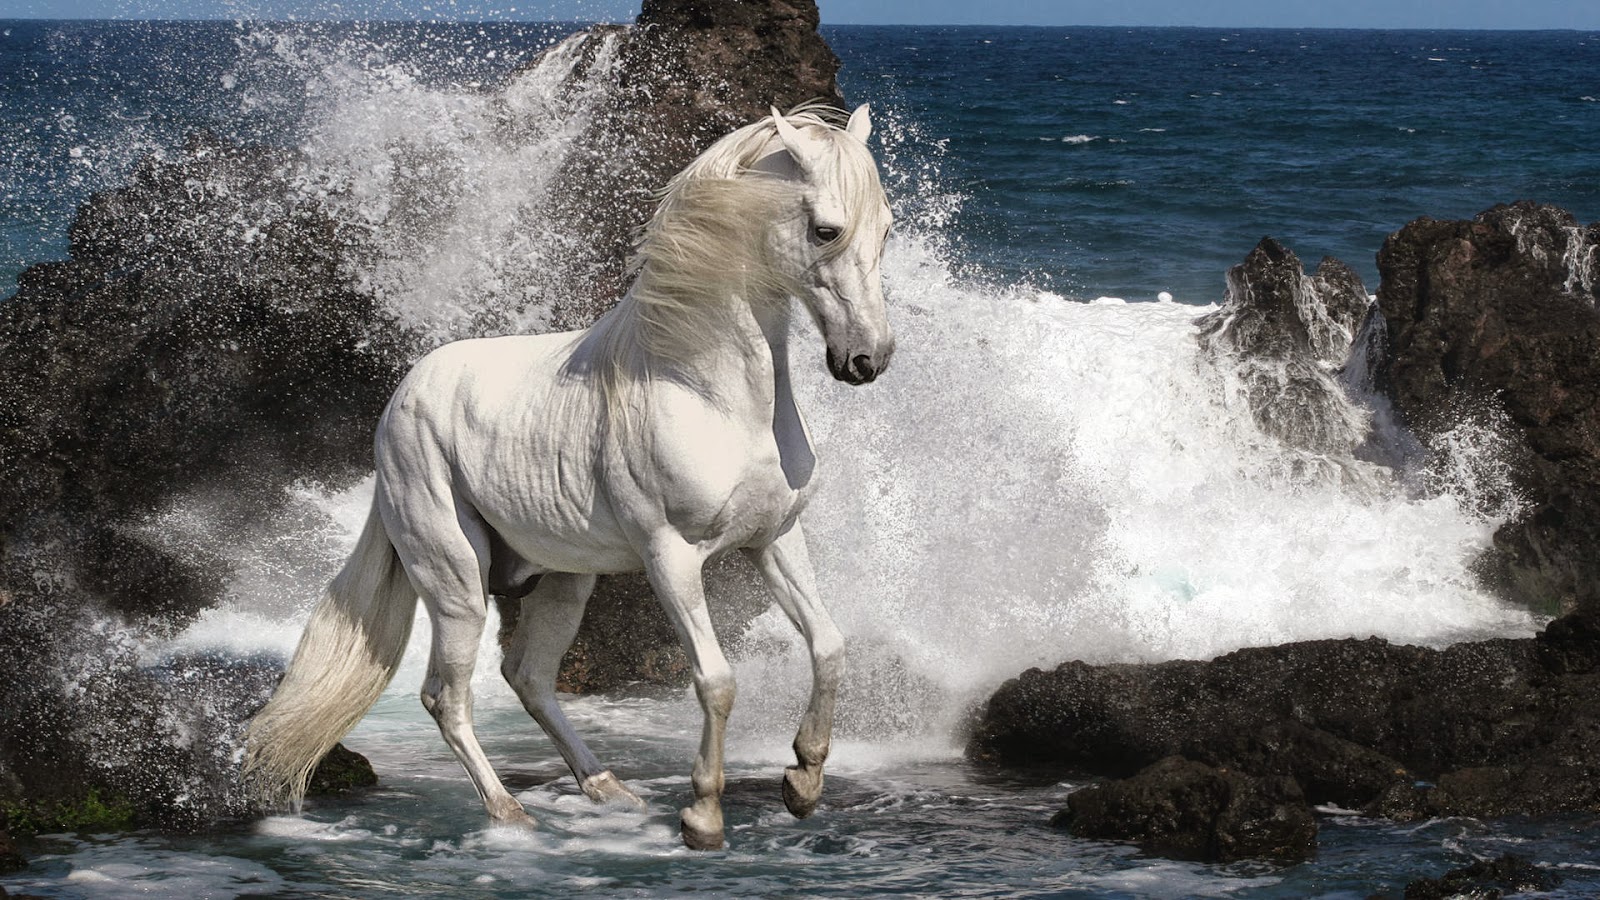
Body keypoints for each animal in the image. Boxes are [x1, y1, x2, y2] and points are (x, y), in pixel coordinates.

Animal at [246, 103, 902, 845]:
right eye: (826, 229)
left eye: (886, 228)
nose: (867, 360)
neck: (708, 390)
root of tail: (400, 401)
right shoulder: (671, 557)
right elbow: (716, 680)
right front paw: (702, 816)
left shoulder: (773, 539)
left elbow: (829, 646)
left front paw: (803, 781)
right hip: (456, 582)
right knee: (447, 696)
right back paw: (511, 814)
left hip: (563, 580)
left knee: (528, 676)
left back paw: (607, 789)